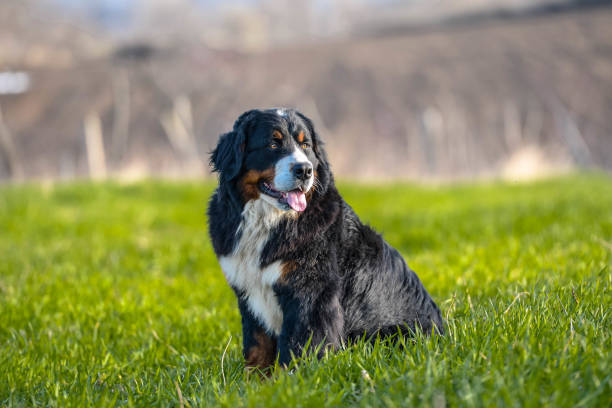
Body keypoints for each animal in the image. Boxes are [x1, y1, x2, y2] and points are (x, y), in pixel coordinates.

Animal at [208, 107, 442, 370]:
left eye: (306, 145)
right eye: (273, 143)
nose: (304, 170)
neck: (271, 222)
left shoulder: (311, 296)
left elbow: (298, 348)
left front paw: (290, 378)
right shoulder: (249, 295)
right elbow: (256, 349)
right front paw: (252, 380)